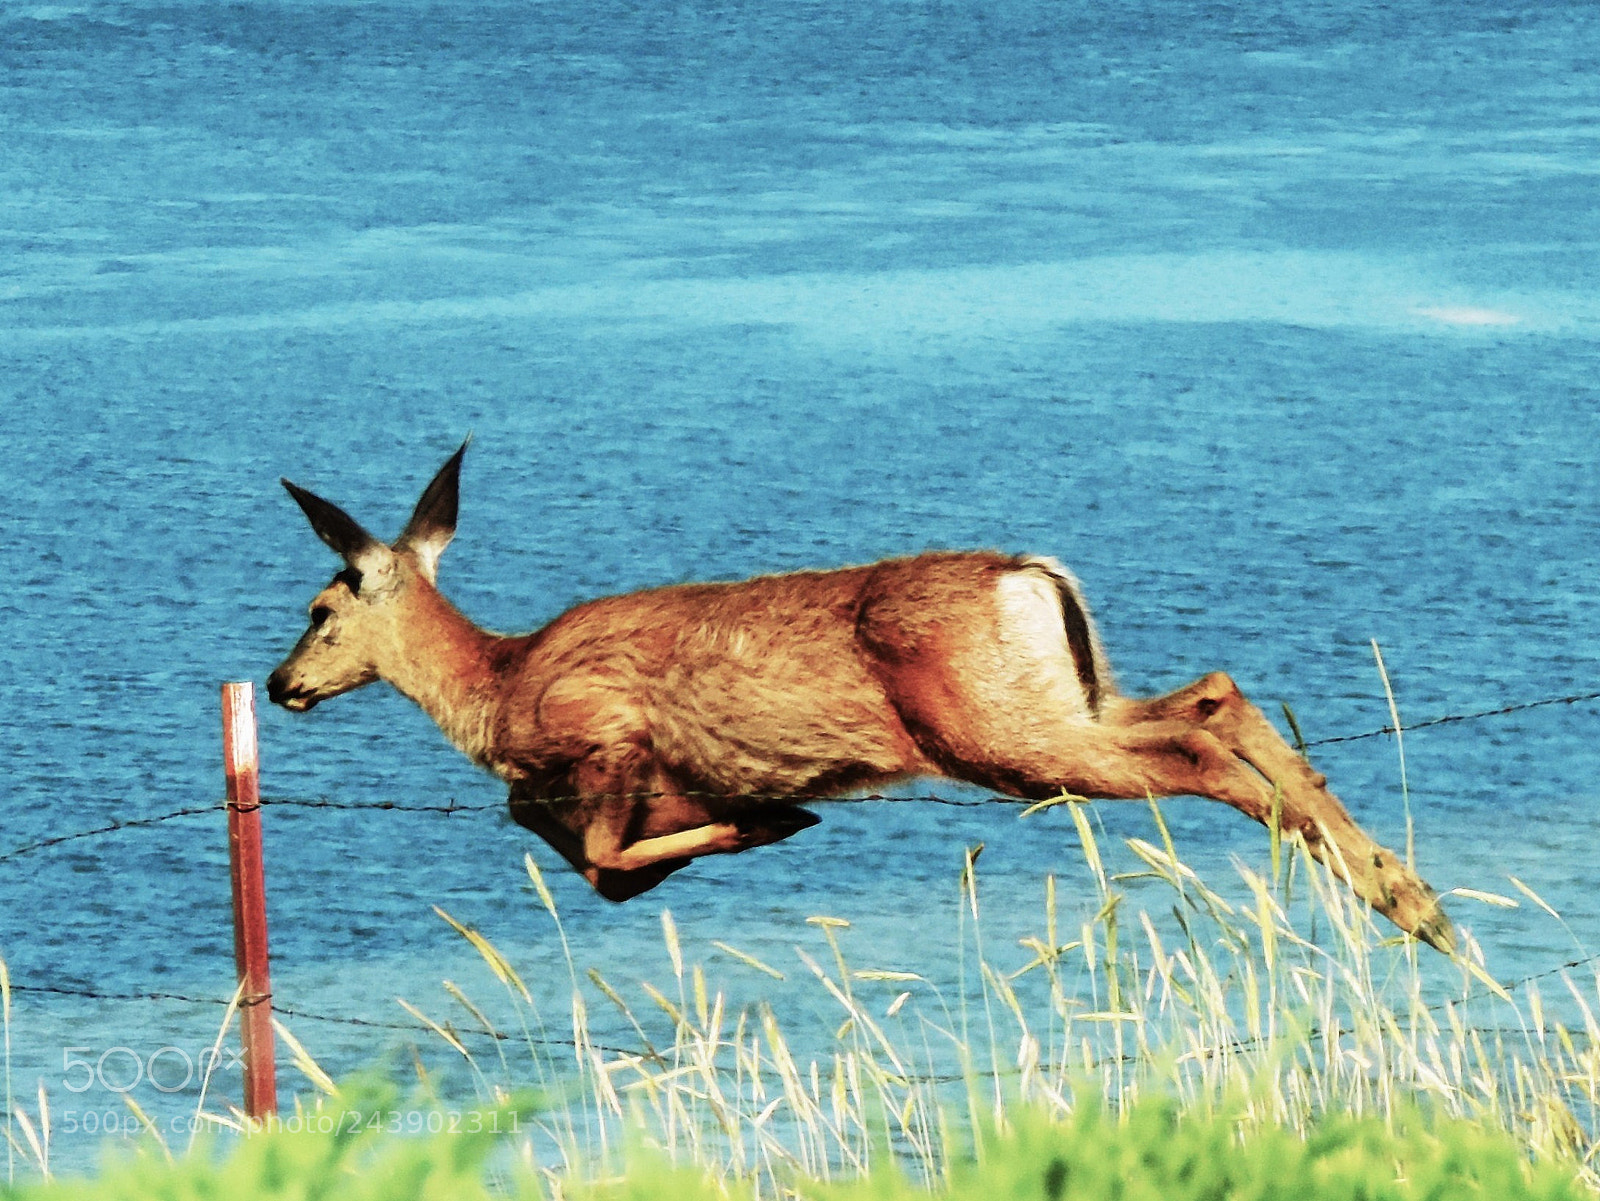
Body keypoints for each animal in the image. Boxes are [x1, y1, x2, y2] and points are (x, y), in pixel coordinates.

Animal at [266, 440, 1454, 952]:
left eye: (320, 608)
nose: (279, 684)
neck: (498, 683)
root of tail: (1035, 576)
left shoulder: (606, 731)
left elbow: (595, 852)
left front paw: (767, 818)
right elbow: (572, 847)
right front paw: (756, 817)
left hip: (1003, 735)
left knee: (1199, 750)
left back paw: (1398, 898)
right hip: (1062, 703)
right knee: (1216, 693)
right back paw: (1410, 896)